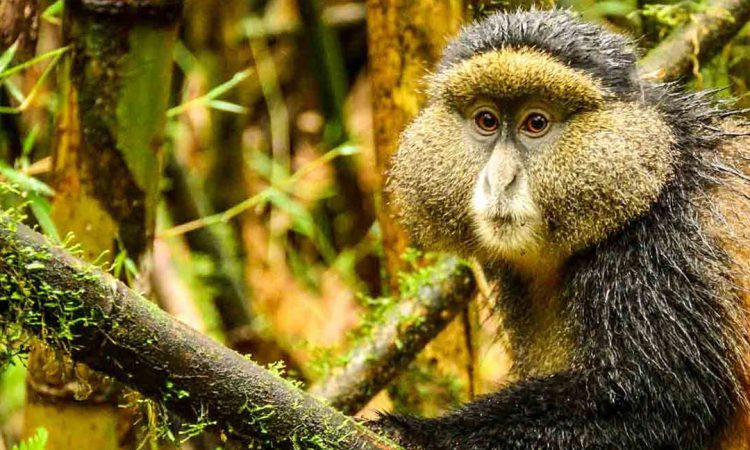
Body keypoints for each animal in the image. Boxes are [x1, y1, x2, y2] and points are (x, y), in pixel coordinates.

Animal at [376, 9, 750, 450]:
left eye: (536, 123)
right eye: (486, 120)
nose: (499, 181)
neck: (656, 173)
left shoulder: (665, 252)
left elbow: (664, 401)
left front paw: (417, 432)